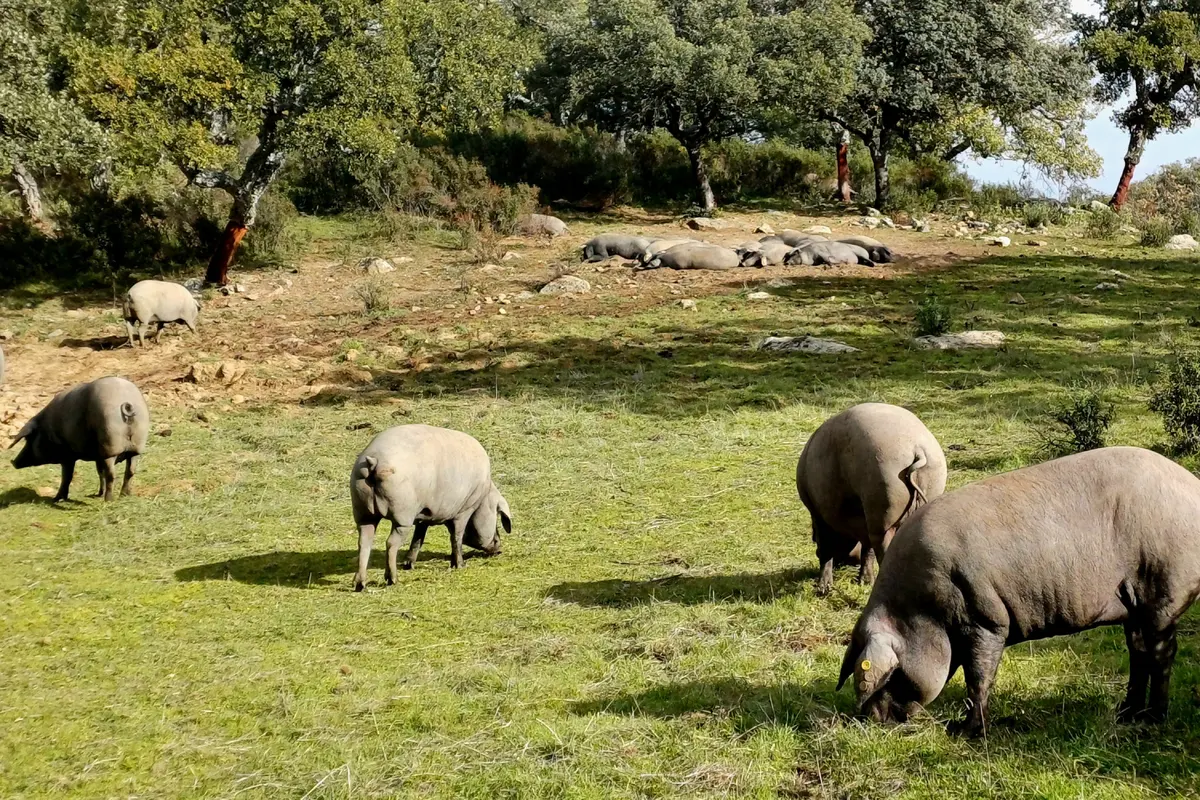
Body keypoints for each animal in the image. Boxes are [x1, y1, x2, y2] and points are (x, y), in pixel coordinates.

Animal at [10, 376, 149, 502]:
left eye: (28, 439)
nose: (13, 462)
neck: (47, 430)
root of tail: (127, 404)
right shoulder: (98, 455)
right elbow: (99, 472)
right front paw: (97, 494)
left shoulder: (67, 455)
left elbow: (67, 477)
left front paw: (56, 499)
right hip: (136, 446)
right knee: (130, 471)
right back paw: (124, 495)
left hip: (110, 445)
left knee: (112, 475)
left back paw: (108, 500)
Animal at [349, 424, 512, 590]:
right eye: (497, 515)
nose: (499, 548)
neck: (483, 496)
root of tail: (374, 461)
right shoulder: (464, 510)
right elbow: (456, 537)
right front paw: (460, 565)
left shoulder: (424, 515)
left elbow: (418, 538)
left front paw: (409, 564)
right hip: (402, 516)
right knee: (391, 543)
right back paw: (392, 580)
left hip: (362, 511)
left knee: (364, 542)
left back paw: (360, 584)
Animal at [796, 403, 946, 594]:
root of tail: (917, 449)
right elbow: (866, 551)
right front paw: (863, 582)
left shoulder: (819, 515)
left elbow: (826, 549)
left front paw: (823, 589)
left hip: (882, 514)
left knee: (881, 549)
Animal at [838, 447, 1200, 737]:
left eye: (891, 674)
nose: (870, 719)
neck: (921, 609)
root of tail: (1192, 485)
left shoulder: (985, 619)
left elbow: (978, 678)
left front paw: (965, 732)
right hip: (1134, 602)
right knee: (1138, 652)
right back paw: (1125, 714)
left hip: (1165, 591)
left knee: (1162, 653)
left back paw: (1153, 719)